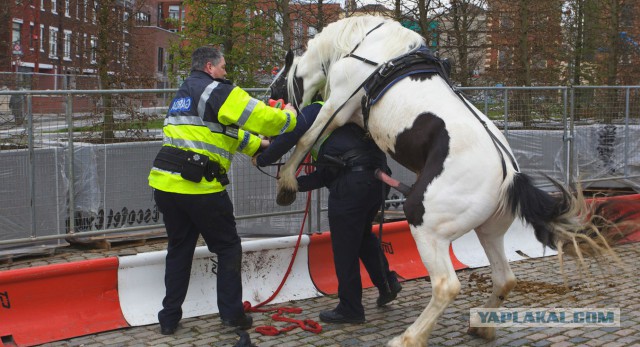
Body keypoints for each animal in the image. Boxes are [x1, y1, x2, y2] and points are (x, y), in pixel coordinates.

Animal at [268, 14, 620, 346]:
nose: (273, 100)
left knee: (446, 286)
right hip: (489, 232)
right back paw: (481, 327)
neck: (366, 46)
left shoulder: (337, 106)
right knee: (504, 278)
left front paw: (286, 183)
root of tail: (510, 177)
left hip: (427, 228)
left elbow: (307, 138)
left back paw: (410, 338)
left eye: (277, 82)